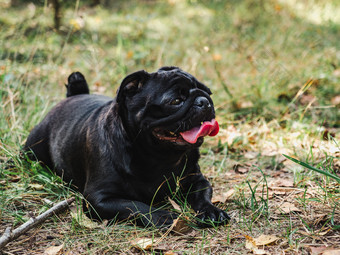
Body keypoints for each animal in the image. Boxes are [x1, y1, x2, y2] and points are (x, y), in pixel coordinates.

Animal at [25, 66, 230, 228]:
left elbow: (203, 196)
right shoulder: (98, 199)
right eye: (175, 101)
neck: (157, 156)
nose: (204, 101)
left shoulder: (197, 180)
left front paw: (211, 211)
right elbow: (132, 205)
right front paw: (161, 216)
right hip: (34, 148)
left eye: (206, 91)